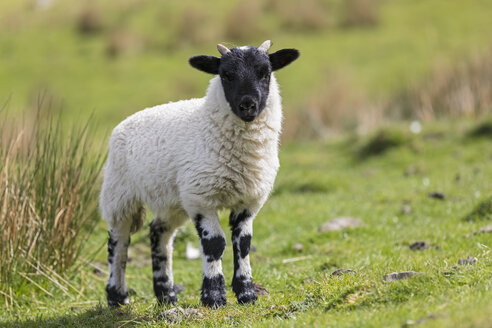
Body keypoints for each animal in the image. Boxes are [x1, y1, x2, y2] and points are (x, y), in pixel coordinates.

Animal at [99, 40, 300, 308]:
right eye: (226, 75)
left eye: (265, 72)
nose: (248, 105)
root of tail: (125, 122)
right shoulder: (201, 197)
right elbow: (215, 244)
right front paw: (213, 296)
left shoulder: (249, 200)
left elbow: (243, 243)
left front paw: (247, 293)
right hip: (119, 194)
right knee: (118, 242)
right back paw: (117, 296)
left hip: (172, 201)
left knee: (158, 234)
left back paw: (166, 294)